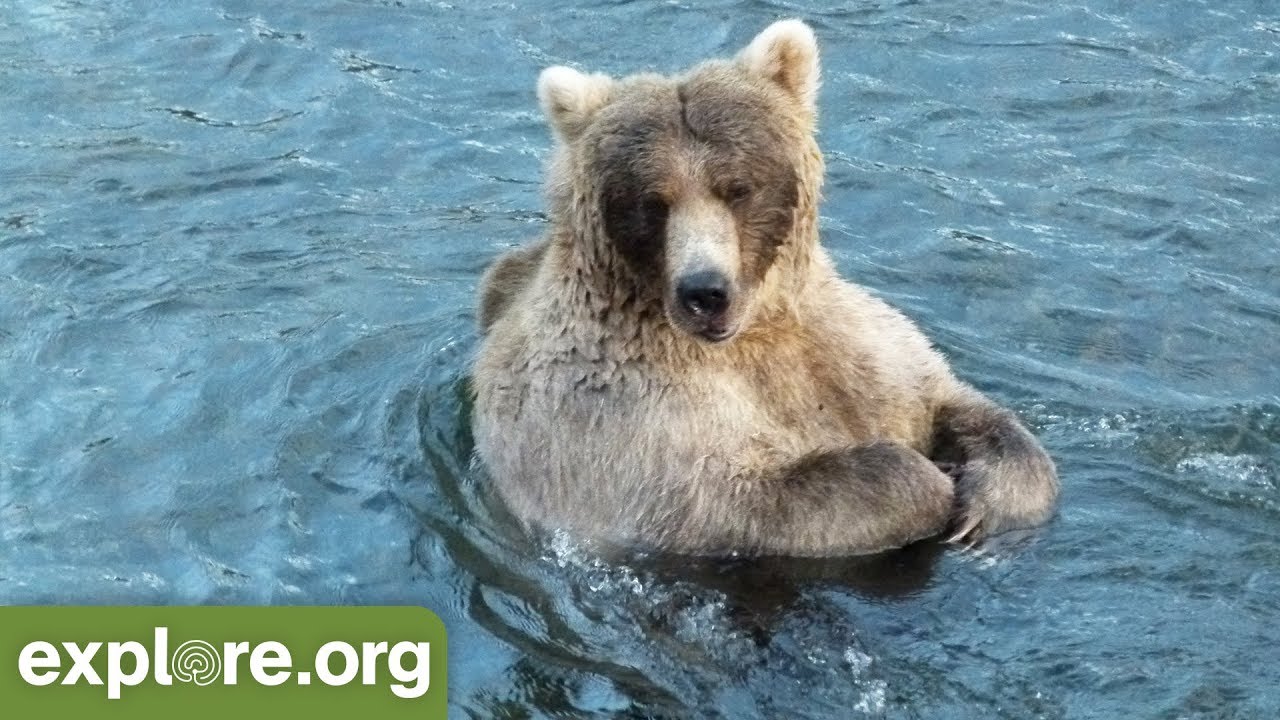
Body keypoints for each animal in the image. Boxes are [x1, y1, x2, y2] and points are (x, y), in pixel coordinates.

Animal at [471, 20, 1058, 556]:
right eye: (652, 201)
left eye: (736, 187)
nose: (705, 291)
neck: (750, 336)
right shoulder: (622, 420)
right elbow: (739, 497)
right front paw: (929, 482)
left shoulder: (851, 349)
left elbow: (954, 403)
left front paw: (986, 497)